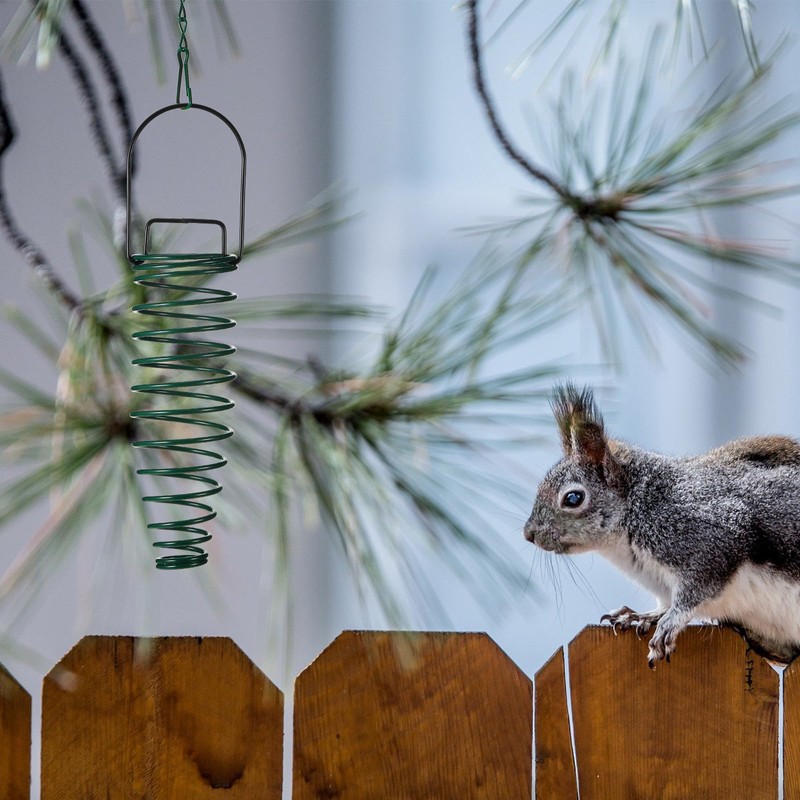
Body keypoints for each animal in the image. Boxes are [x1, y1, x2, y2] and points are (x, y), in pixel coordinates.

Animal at [524, 382, 800, 667]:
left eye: (573, 498)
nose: (529, 534)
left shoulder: (710, 537)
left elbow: (697, 590)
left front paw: (670, 623)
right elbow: (665, 603)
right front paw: (643, 616)